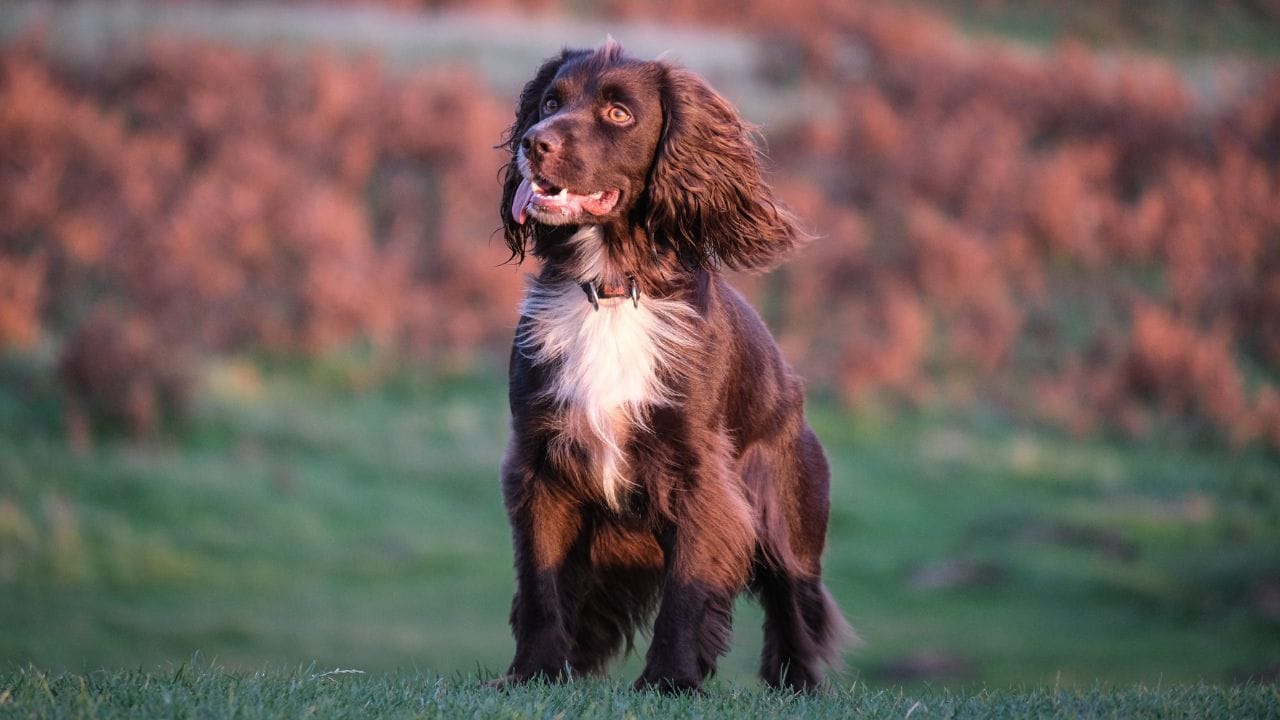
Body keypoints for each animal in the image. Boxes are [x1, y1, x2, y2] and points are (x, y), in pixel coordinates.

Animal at [494, 39, 855, 691]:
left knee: (794, 605)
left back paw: (795, 685)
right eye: (551, 102)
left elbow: (688, 589)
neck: (612, 289)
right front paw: (533, 673)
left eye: (618, 114)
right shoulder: (540, 462)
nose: (533, 143)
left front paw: (670, 679)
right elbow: (540, 584)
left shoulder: (700, 478)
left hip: (788, 518)